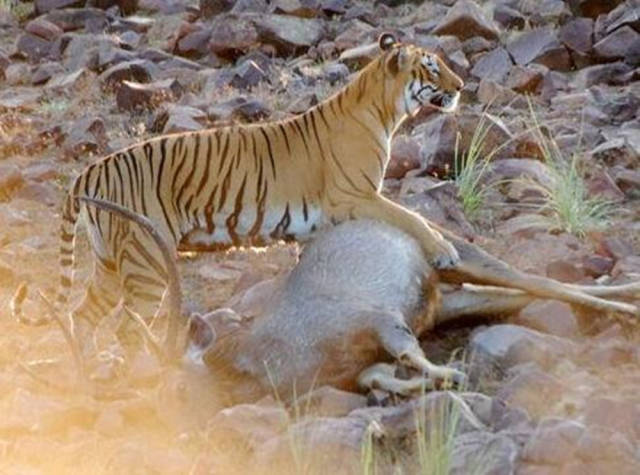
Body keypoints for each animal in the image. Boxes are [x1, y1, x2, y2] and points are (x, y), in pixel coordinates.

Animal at [11, 31, 464, 340]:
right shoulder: (355, 195)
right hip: (145, 260)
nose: (461, 87)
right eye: (433, 67)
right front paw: (447, 251)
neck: (384, 109)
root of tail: (90, 170)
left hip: (108, 261)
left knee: (81, 318)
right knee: (127, 330)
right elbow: (415, 218)